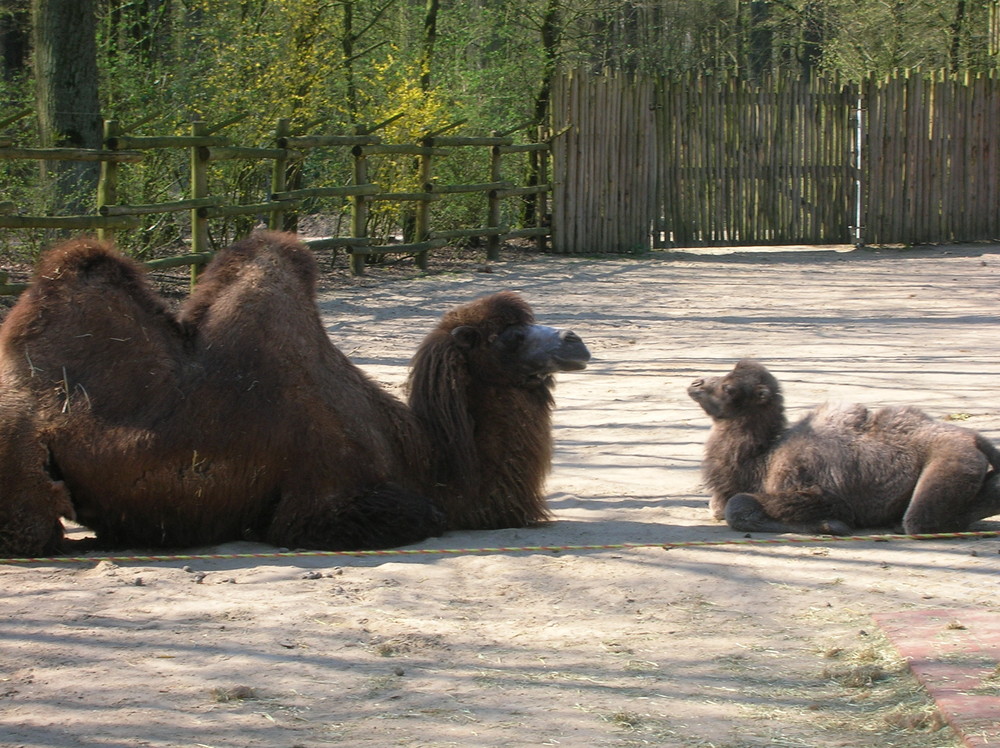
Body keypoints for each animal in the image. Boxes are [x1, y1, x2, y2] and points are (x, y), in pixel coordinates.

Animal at [0, 232, 588, 556]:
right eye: (509, 337)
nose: (574, 341)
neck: (421, 455)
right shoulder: (323, 500)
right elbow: (427, 514)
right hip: (21, 457)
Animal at [688, 360, 1000, 536]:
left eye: (729, 388)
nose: (695, 383)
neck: (762, 461)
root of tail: (974, 439)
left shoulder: (817, 491)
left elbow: (737, 505)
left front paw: (831, 526)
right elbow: (718, 506)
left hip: (949, 463)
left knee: (920, 522)